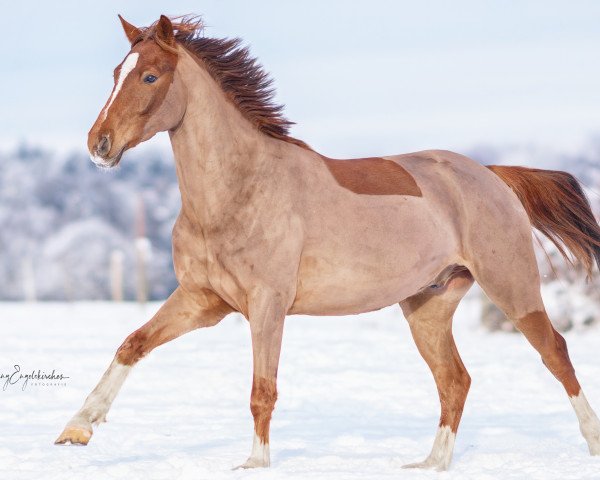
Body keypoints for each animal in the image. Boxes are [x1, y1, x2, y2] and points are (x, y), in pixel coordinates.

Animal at [55, 15, 600, 472]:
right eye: (115, 73)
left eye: (149, 77)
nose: (99, 144)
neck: (237, 191)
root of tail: (489, 174)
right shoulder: (202, 300)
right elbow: (132, 344)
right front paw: (76, 429)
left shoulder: (267, 304)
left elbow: (262, 389)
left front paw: (254, 465)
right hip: (428, 307)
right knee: (455, 380)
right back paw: (430, 465)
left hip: (511, 285)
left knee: (555, 353)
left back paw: (591, 443)